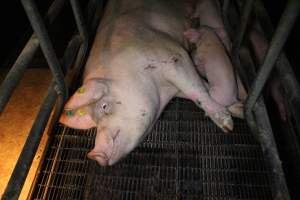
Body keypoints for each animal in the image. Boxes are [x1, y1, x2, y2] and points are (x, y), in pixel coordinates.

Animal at [59, 0, 234, 166]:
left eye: (104, 106)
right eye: (95, 122)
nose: (93, 155)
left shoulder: (173, 56)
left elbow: (196, 90)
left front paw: (228, 125)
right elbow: (199, 89)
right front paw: (235, 109)